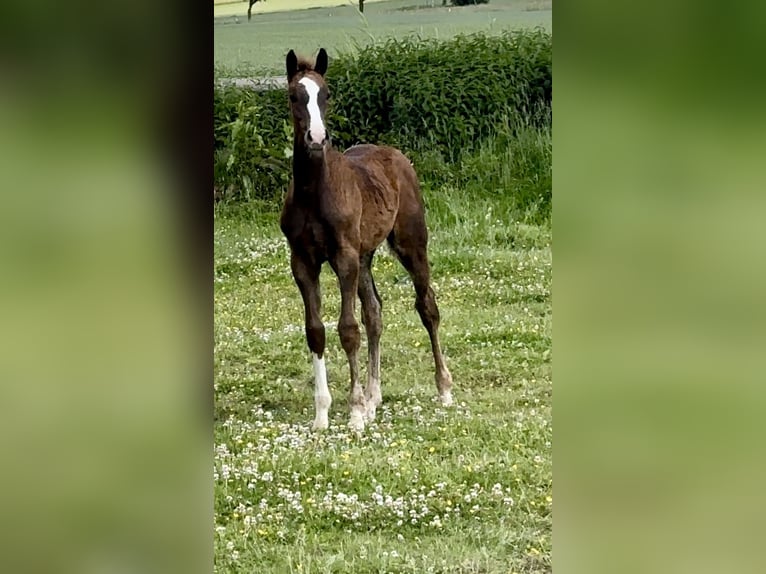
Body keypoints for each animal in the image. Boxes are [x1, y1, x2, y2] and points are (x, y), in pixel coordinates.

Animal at [280, 48, 452, 432]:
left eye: (326, 94)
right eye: (295, 96)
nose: (316, 138)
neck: (315, 191)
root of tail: (397, 155)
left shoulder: (343, 257)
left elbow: (348, 329)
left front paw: (355, 412)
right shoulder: (303, 261)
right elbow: (316, 329)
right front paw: (322, 415)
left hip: (410, 243)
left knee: (427, 306)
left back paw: (444, 389)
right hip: (364, 257)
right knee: (375, 311)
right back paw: (375, 398)